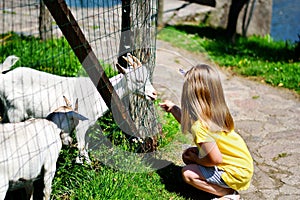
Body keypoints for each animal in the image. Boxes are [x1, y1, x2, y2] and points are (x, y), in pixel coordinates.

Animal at [0, 54, 158, 163]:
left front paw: (87, 162)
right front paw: (85, 166)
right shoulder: (81, 124)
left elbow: (86, 145)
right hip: (14, 112)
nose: (154, 94)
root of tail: (4, 78)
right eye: (138, 80)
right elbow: (81, 146)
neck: (97, 94)